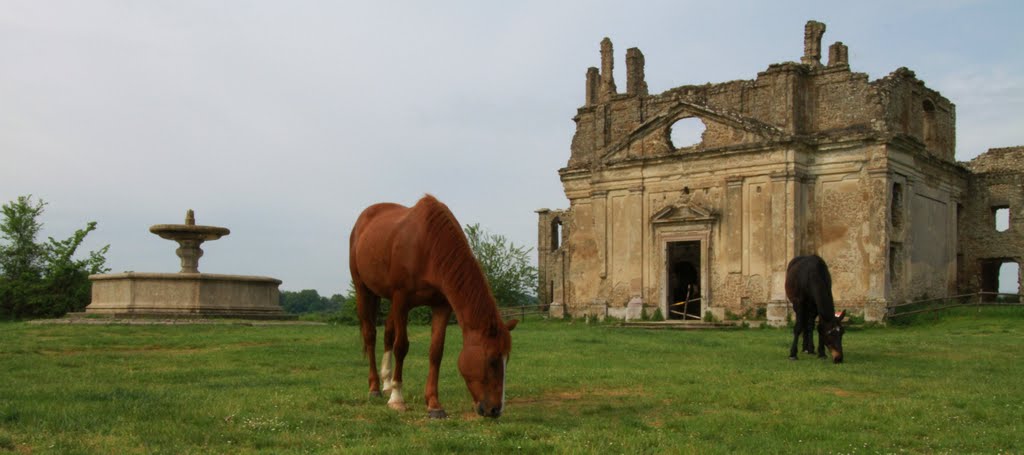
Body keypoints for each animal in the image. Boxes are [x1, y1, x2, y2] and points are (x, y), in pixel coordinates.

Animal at [348, 193, 520, 418]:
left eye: (507, 360)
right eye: (492, 360)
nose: (495, 410)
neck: (427, 245)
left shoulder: (441, 305)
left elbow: (436, 351)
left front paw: (433, 404)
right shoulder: (401, 300)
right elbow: (401, 346)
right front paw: (397, 398)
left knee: (387, 333)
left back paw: (386, 382)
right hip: (364, 290)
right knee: (370, 335)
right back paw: (375, 388)